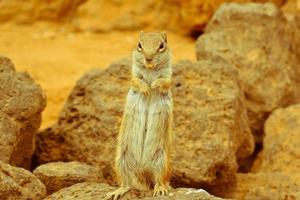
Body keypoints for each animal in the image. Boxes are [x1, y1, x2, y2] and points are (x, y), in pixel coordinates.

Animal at [105, 30, 172, 198]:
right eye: (139, 45)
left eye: (161, 46)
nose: (148, 58)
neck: (150, 70)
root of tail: (143, 168)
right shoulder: (134, 75)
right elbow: (136, 81)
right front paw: (146, 88)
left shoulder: (168, 76)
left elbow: (164, 82)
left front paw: (154, 84)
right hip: (121, 159)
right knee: (127, 182)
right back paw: (119, 190)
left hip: (161, 160)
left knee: (159, 179)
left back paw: (160, 189)